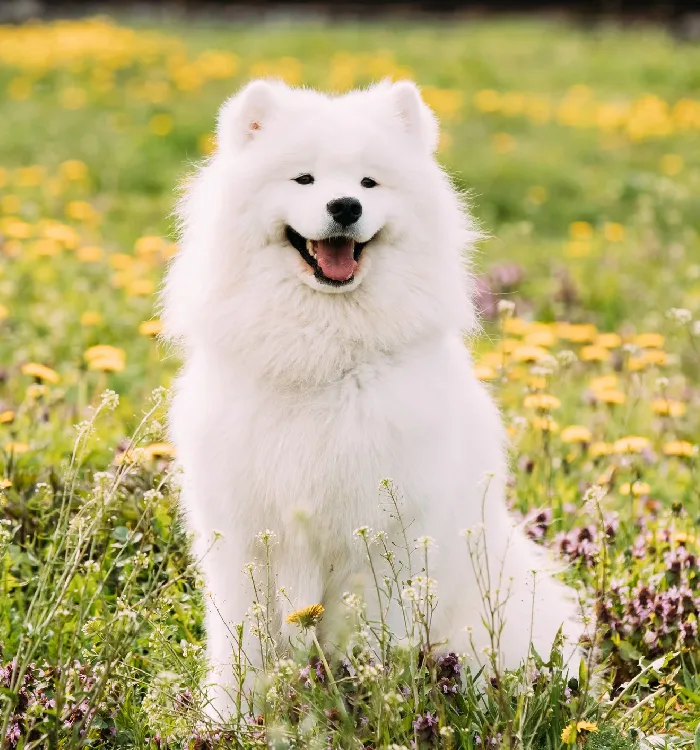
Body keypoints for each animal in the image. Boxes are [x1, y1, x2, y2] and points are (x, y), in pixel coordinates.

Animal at [161, 78, 584, 716]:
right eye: (304, 179)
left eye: (368, 183)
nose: (345, 208)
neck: (325, 356)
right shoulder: (243, 541)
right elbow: (241, 650)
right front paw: (225, 720)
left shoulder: (381, 543)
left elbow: (371, 643)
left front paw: (375, 711)